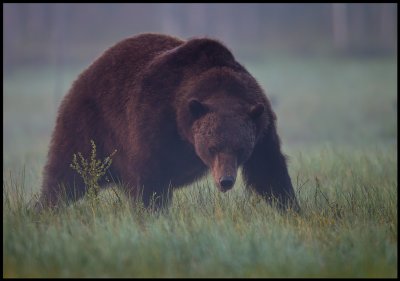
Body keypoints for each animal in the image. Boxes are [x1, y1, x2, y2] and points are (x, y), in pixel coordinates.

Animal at [38, 32, 300, 211]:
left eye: (241, 148)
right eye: (212, 147)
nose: (225, 181)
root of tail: (88, 69)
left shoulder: (261, 124)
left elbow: (269, 171)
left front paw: (292, 209)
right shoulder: (154, 120)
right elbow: (150, 178)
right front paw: (151, 214)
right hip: (91, 125)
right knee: (67, 174)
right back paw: (44, 209)